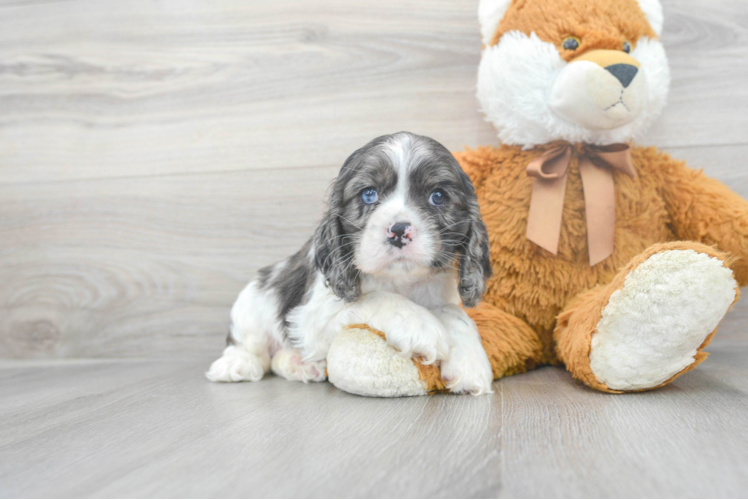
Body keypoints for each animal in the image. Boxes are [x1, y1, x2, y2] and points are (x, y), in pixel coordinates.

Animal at [207, 132, 494, 394]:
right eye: (369, 194)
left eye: (438, 196)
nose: (399, 231)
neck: (400, 281)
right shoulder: (314, 317)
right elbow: (376, 298)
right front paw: (419, 325)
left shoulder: (441, 296)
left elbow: (454, 312)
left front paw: (471, 363)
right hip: (251, 303)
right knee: (249, 345)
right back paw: (237, 364)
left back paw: (300, 365)